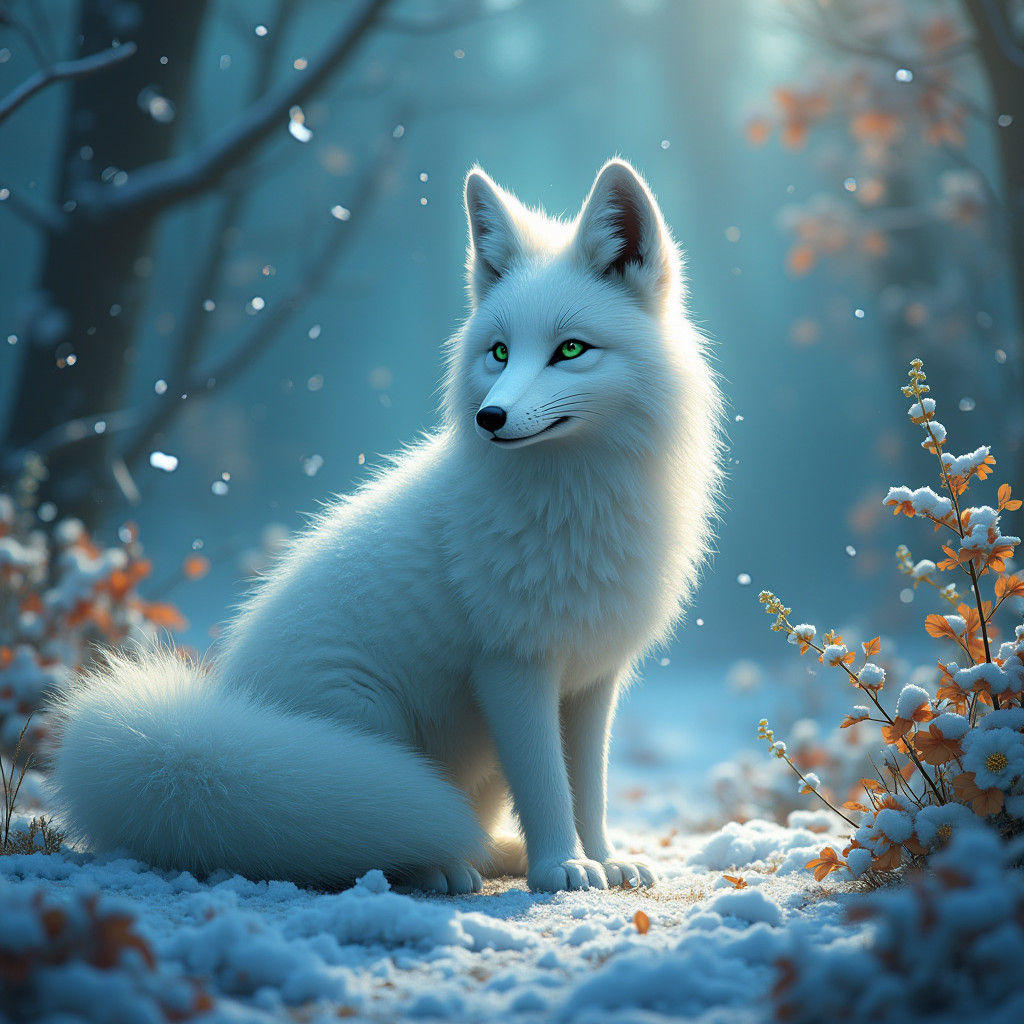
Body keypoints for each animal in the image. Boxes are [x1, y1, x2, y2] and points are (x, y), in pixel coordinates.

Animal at [49, 158, 722, 894]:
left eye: (571, 350)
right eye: (498, 352)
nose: (489, 418)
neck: (579, 500)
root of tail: (218, 715)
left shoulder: (594, 677)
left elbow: (589, 788)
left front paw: (601, 858)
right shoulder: (512, 667)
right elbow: (548, 787)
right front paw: (561, 867)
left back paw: (496, 855)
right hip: (369, 726)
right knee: (367, 840)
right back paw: (444, 868)